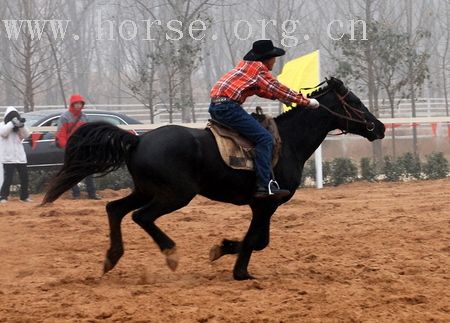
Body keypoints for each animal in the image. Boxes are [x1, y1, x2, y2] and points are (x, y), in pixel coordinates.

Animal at [43, 76, 386, 280]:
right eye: (355, 102)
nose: (379, 127)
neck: (287, 141)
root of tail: (138, 139)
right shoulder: (265, 203)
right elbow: (257, 239)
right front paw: (237, 268)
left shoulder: (263, 206)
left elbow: (259, 239)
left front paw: (224, 250)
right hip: (175, 194)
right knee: (141, 217)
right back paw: (170, 253)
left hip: (146, 189)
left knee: (114, 209)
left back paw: (111, 258)